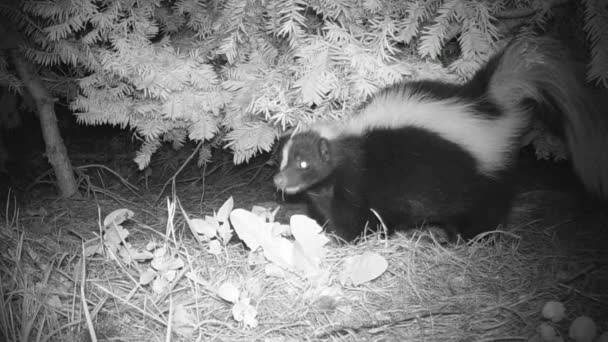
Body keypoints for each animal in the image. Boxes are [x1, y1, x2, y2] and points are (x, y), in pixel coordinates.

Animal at [272, 36, 608, 242]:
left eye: (304, 163)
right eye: (283, 160)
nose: (278, 180)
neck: (348, 139)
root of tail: (489, 103)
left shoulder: (360, 179)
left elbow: (358, 216)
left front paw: (345, 238)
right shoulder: (329, 190)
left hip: (480, 175)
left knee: (487, 210)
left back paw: (469, 240)